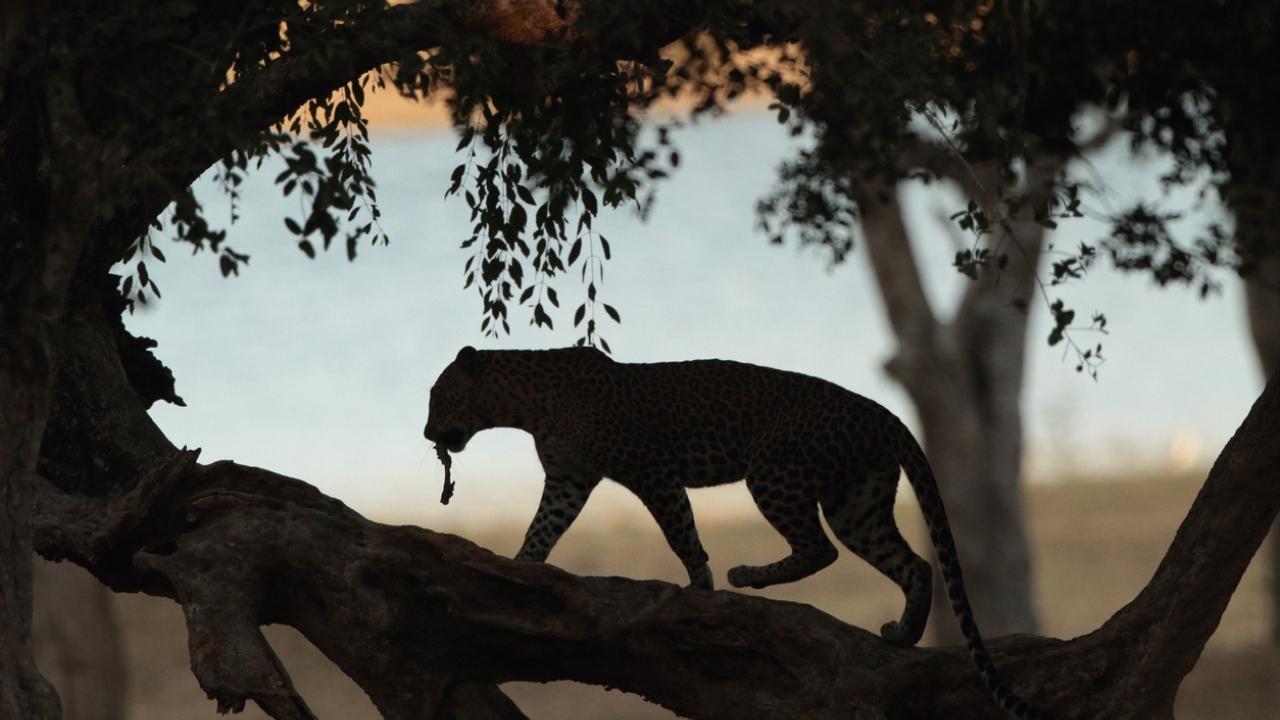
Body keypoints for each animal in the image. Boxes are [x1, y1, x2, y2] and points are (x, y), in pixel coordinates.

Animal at [424, 346, 1043, 719]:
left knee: (819, 548)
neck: (524, 405)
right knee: (910, 563)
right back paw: (904, 635)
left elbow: (680, 530)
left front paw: (700, 583)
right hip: (857, 502)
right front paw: (519, 568)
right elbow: (541, 530)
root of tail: (882, 412)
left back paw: (748, 576)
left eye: (438, 396)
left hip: (773, 472)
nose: (428, 433)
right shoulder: (568, 482)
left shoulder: (653, 472)